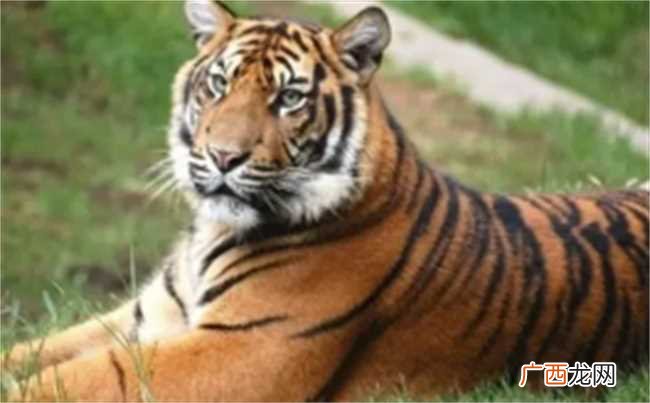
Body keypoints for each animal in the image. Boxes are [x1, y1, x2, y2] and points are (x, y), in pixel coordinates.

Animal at [3, 1, 648, 401]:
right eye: (219, 84)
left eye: (289, 98)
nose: (223, 156)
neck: (211, 233)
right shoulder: (147, 317)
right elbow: (32, 350)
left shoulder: (239, 350)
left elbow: (76, 380)